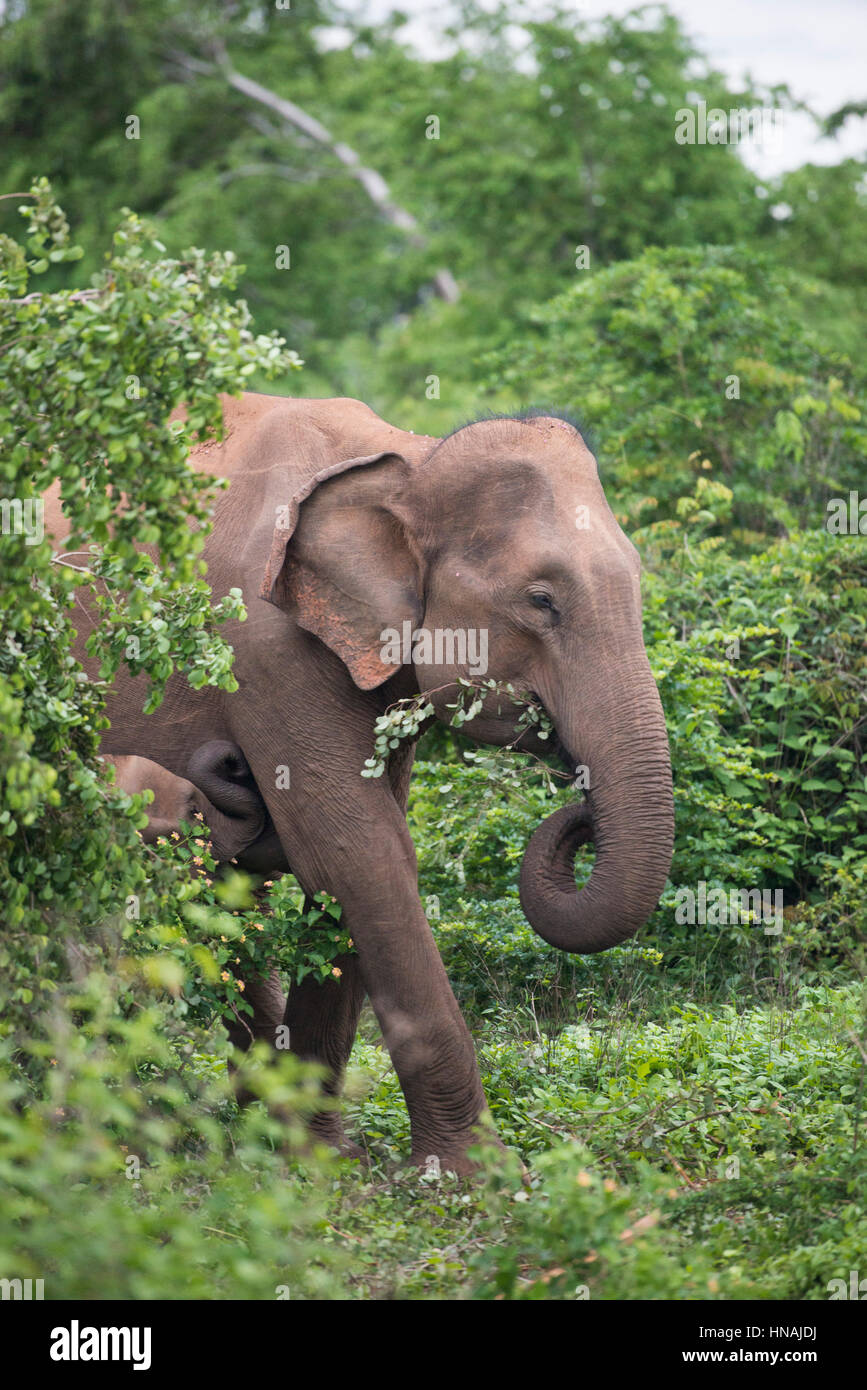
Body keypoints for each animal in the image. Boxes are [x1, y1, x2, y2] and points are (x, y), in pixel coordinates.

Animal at [44, 391, 675, 1173]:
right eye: (541, 601)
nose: (578, 813)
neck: (411, 459)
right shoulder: (268, 648)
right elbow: (358, 853)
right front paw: (473, 1173)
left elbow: (348, 861)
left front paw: (315, 1156)